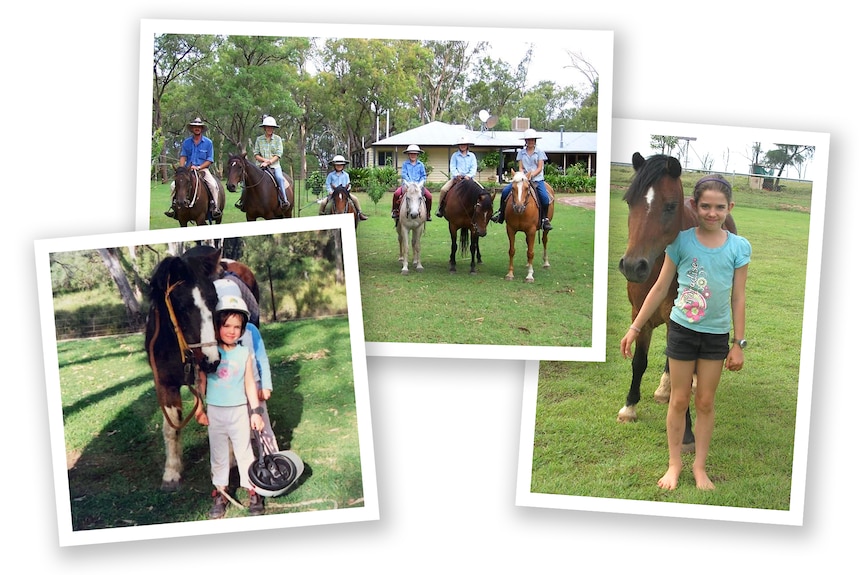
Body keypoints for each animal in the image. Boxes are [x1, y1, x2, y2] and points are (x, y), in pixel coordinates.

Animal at [144, 246, 223, 491]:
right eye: (180, 306)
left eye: (214, 300)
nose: (211, 359)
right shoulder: (165, 384)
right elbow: (171, 428)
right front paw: (171, 472)